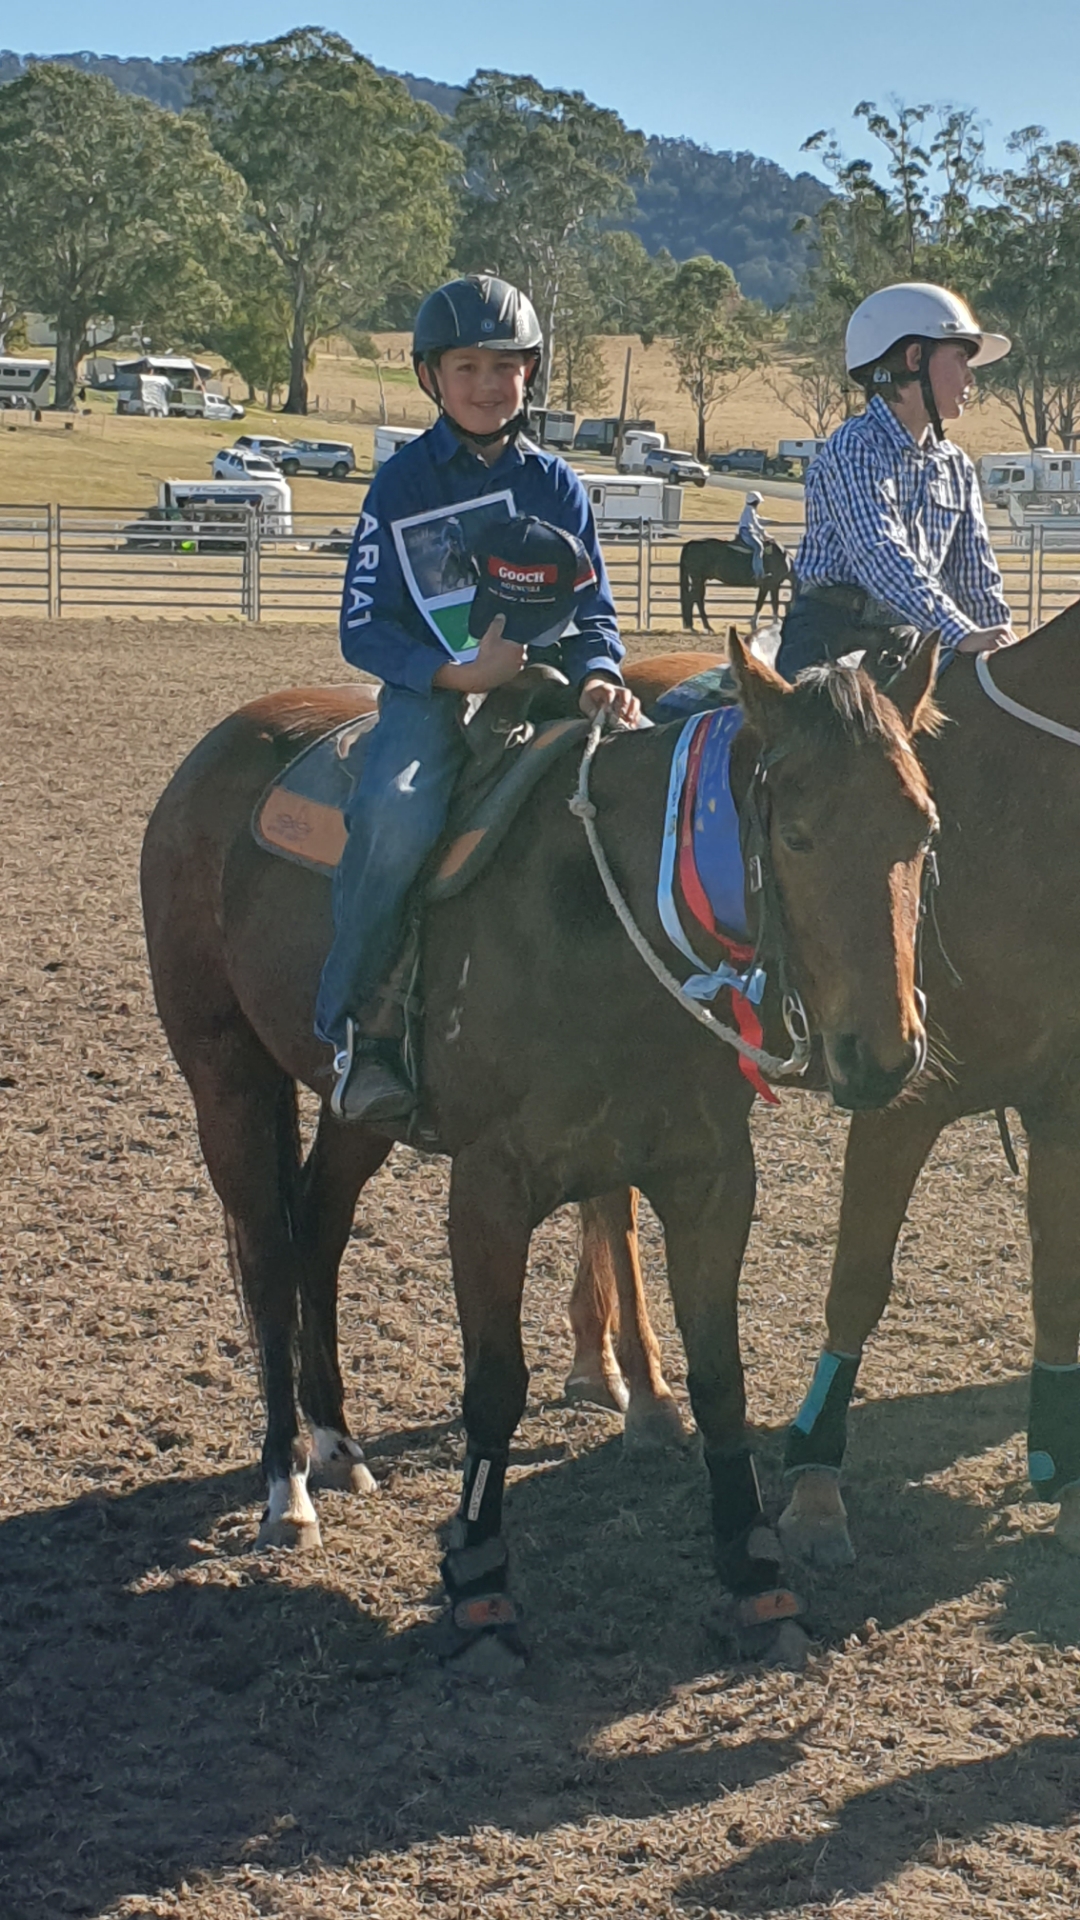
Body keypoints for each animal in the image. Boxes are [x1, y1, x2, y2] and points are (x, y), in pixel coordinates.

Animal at [141, 637, 938, 1667]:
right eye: (796, 837)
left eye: (922, 830)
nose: (884, 1056)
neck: (607, 925)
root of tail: (217, 751)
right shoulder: (490, 1189)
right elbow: (494, 1387)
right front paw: (481, 1591)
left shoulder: (712, 1176)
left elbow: (720, 1378)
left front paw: (759, 1578)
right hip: (226, 1077)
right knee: (271, 1264)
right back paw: (289, 1487)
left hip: (355, 1108)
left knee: (318, 1229)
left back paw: (337, 1442)